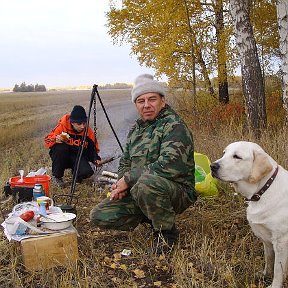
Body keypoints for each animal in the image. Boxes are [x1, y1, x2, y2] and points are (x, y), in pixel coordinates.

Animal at [210, 142, 286, 288]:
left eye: (237, 156)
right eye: (224, 153)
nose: (212, 166)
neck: (262, 191)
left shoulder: (281, 241)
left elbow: (278, 270)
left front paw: (274, 285)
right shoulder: (267, 240)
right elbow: (269, 259)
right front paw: (265, 275)